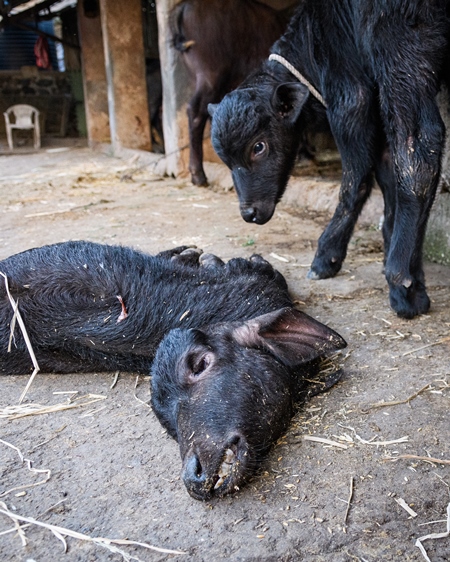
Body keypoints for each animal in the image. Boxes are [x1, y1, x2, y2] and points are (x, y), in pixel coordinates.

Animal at [211, 0, 450, 320]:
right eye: (224, 159)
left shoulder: (352, 102)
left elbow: (355, 177)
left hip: (401, 49)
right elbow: (387, 175)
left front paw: (327, 256)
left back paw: (403, 281)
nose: (249, 213)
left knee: (417, 147)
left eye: (258, 146)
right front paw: (390, 244)